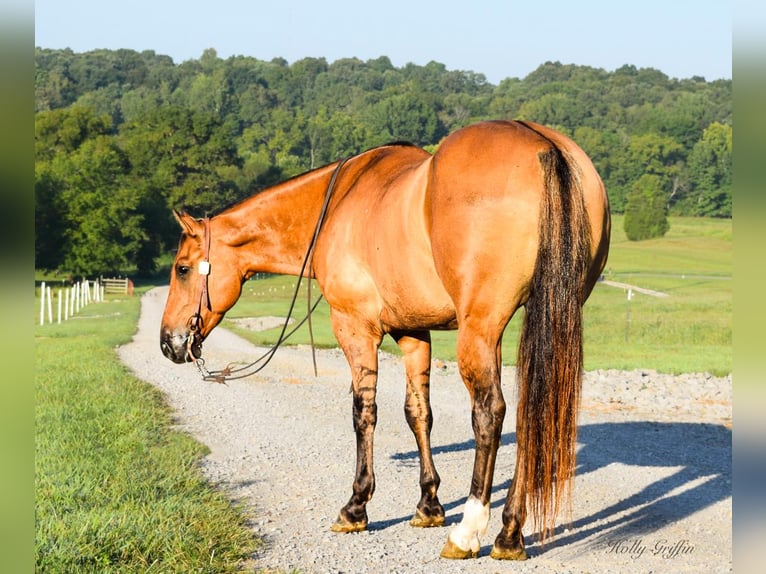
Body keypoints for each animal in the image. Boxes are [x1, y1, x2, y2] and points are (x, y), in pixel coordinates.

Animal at [160, 121, 612, 564]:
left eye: (182, 269)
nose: (168, 343)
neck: (336, 204)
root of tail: (544, 145)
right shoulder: (413, 333)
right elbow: (418, 414)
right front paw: (428, 505)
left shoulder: (355, 329)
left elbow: (364, 412)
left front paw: (356, 506)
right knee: (529, 415)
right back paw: (510, 533)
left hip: (480, 330)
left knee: (490, 413)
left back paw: (469, 532)